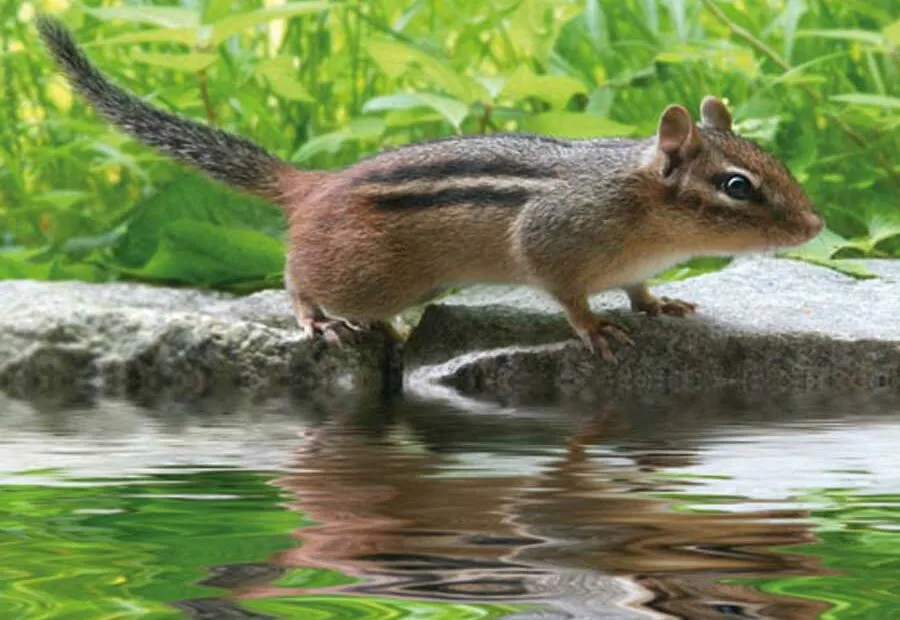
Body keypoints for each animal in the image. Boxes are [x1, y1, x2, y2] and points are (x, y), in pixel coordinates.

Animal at [37, 16, 823, 360]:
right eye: (737, 186)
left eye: (772, 162)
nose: (814, 227)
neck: (643, 211)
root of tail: (314, 186)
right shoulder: (553, 239)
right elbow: (566, 293)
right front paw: (595, 328)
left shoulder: (633, 263)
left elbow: (638, 288)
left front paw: (659, 304)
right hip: (362, 277)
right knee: (294, 273)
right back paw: (314, 318)